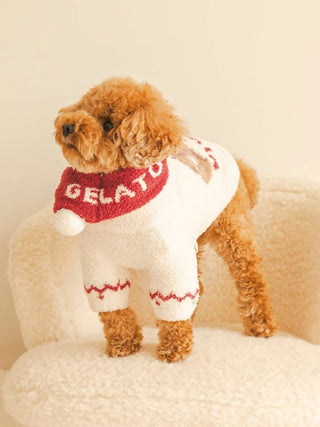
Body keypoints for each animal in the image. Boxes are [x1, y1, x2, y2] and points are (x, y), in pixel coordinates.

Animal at [53, 76, 276, 362]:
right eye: (85, 108)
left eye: (108, 124)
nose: (67, 125)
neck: (118, 200)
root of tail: (236, 160)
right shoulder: (100, 263)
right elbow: (114, 309)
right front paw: (123, 344)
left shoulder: (171, 261)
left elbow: (173, 300)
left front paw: (174, 347)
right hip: (193, 242)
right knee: (199, 287)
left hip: (233, 232)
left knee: (251, 279)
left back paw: (261, 324)